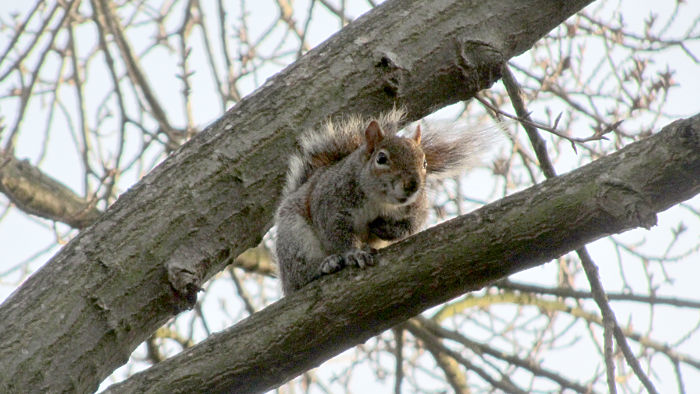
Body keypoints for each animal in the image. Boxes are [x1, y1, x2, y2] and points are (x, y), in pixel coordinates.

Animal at [274, 109, 486, 294]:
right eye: (381, 158)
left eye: (425, 163)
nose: (413, 185)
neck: (380, 201)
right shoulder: (329, 204)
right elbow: (335, 232)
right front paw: (354, 253)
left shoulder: (417, 209)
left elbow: (410, 227)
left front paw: (382, 228)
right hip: (294, 237)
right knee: (301, 273)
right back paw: (324, 265)